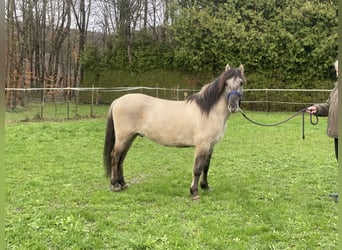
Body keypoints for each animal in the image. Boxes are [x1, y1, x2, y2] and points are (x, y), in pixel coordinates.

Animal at [102, 64, 246, 199]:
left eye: (241, 83)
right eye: (225, 83)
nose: (233, 106)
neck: (209, 111)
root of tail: (117, 101)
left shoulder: (210, 146)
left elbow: (206, 166)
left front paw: (205, 186)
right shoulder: (202, 145)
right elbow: (197, 168)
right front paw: (194, 192)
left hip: (130, 137)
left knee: (121, 159)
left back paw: (123, 184)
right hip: (123, 138)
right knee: (115, 157)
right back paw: (115, 185)